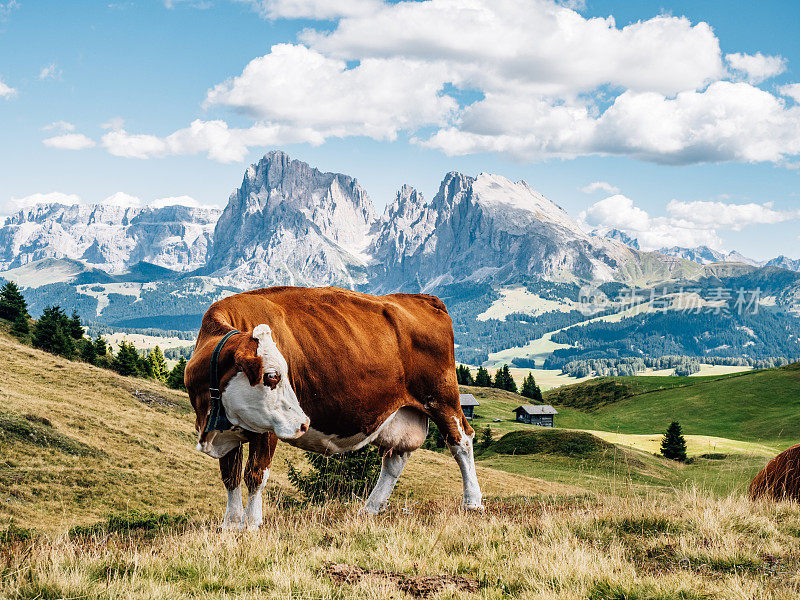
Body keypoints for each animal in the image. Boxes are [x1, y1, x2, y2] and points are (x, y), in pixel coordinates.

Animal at [186, 284, 482, 528]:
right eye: (272, 375)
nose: (304, 423)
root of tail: (422, 299)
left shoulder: (267, 430)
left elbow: (255, 474)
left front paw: (252, 524)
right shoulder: (228, 429)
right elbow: (230, 477)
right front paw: (231, 525)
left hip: (442, 398)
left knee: (461, 441)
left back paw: (472, 502)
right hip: (405, 414)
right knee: (395, 459)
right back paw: (370, 509)